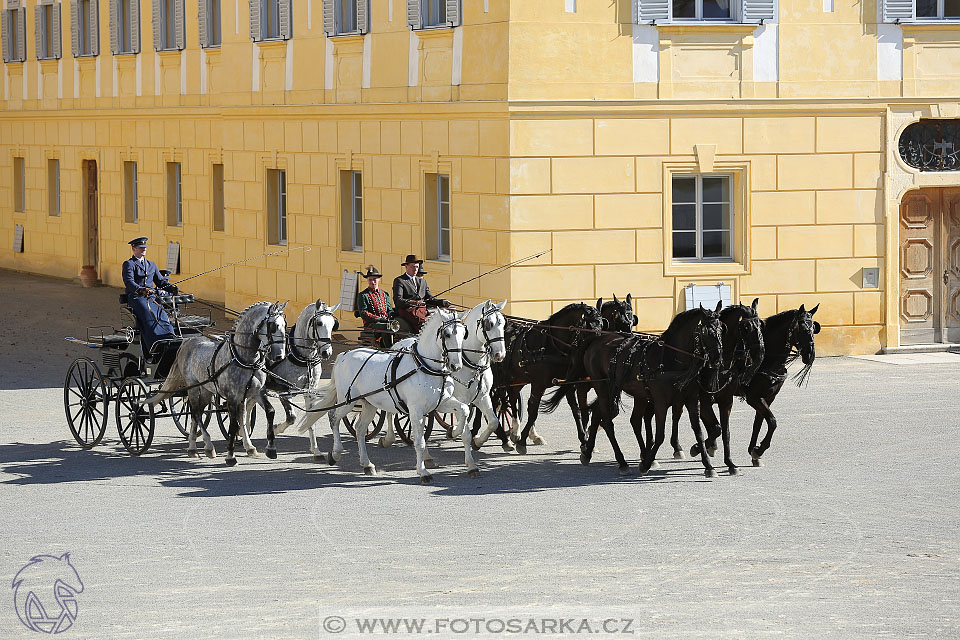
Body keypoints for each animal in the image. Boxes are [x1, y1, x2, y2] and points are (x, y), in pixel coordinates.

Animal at [296, 308, 468, 482]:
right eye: (446, 334)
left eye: (463, 334)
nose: (456, 365)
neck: (424, 365)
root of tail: (343, 355)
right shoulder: (416, 410)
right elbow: (420, 442)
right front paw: (423, 471)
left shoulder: (441, 403)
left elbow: (464, 410)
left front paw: (454, 431)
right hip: (348, 401)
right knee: (334, 418)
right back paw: (336, 452)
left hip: (369, 404)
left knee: (359, 429)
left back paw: (367, 464)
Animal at [378, 300, 510, 470]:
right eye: (489, 324)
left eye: (504, 324)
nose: (500, 355)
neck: (471, 362)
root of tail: (398, 343)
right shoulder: (460, 400)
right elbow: (465, 431)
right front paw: (459, 441)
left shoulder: (482, 397)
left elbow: (493, 422)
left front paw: (478, 442)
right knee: (390, 413)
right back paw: (389, 439)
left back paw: (425, 455)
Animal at [470, 302, 600, 452]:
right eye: (589, 328)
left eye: (602, 326)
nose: (593, 355)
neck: (551, 344)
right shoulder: (538, 384)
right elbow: (533, 412)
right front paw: (522, 442)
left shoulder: (567, 384)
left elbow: (575, 411)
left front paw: (584, 441)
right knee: (489, 403)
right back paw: (487, 435)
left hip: (515, 378)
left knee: (509, 399)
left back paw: (512, 432)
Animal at [572, 304, 724, 476]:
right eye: (706, 331)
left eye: (721, 329)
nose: (717, 359)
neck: (670, 359)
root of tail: (597, 339)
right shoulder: (660, 403)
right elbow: (660, 436)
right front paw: (646, 463)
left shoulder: (691, 400)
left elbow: (699, 432)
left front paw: (707, 464)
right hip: (603, 388)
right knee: (608, 423)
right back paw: (621, 461)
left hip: (618, 390)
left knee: (601, 414)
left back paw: (588, 452)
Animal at [692, 302, 820, 468]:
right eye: (802, 328)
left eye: (813, 328)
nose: (810, 354)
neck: (768, 361)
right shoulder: (753, 398)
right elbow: (772, 421)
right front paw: (758, 450)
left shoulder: (768, 398)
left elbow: (759, 422)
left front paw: (754, 450)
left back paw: (710, 445)